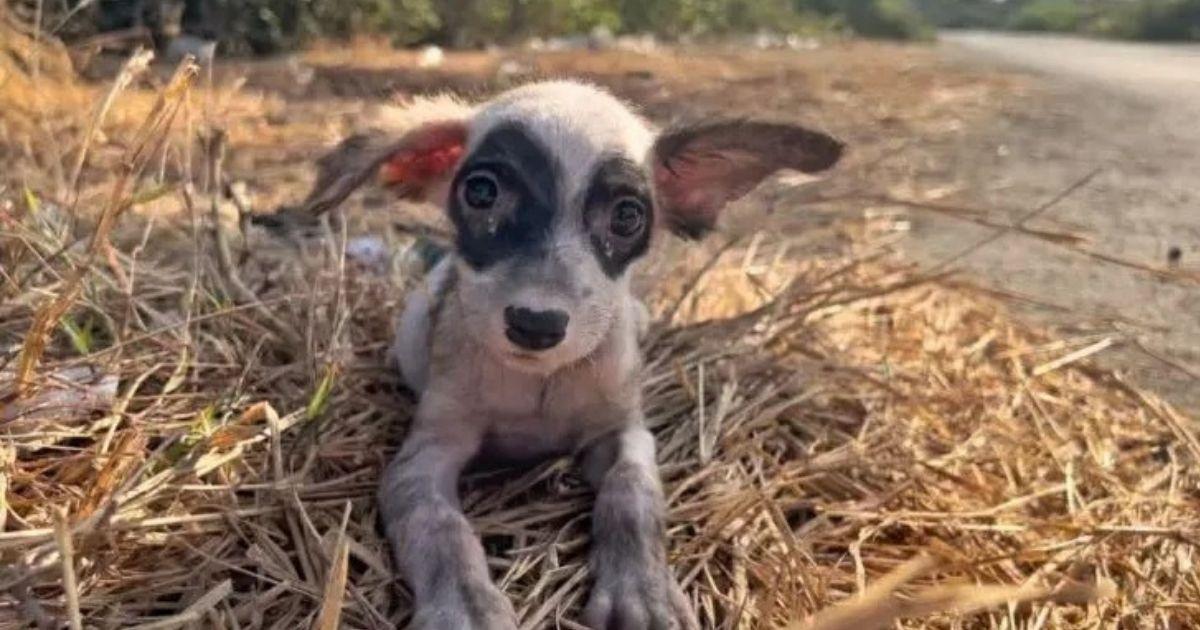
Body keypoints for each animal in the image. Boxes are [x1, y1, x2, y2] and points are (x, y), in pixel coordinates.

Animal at [295, 81, 840, 624]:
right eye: (481, 191)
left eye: (627, 216)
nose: (535, 325)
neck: (539, 383)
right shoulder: (422, 458)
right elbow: (440, 529)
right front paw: (466, 606)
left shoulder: (625, 432)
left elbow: (631, 494)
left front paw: (642, 592)